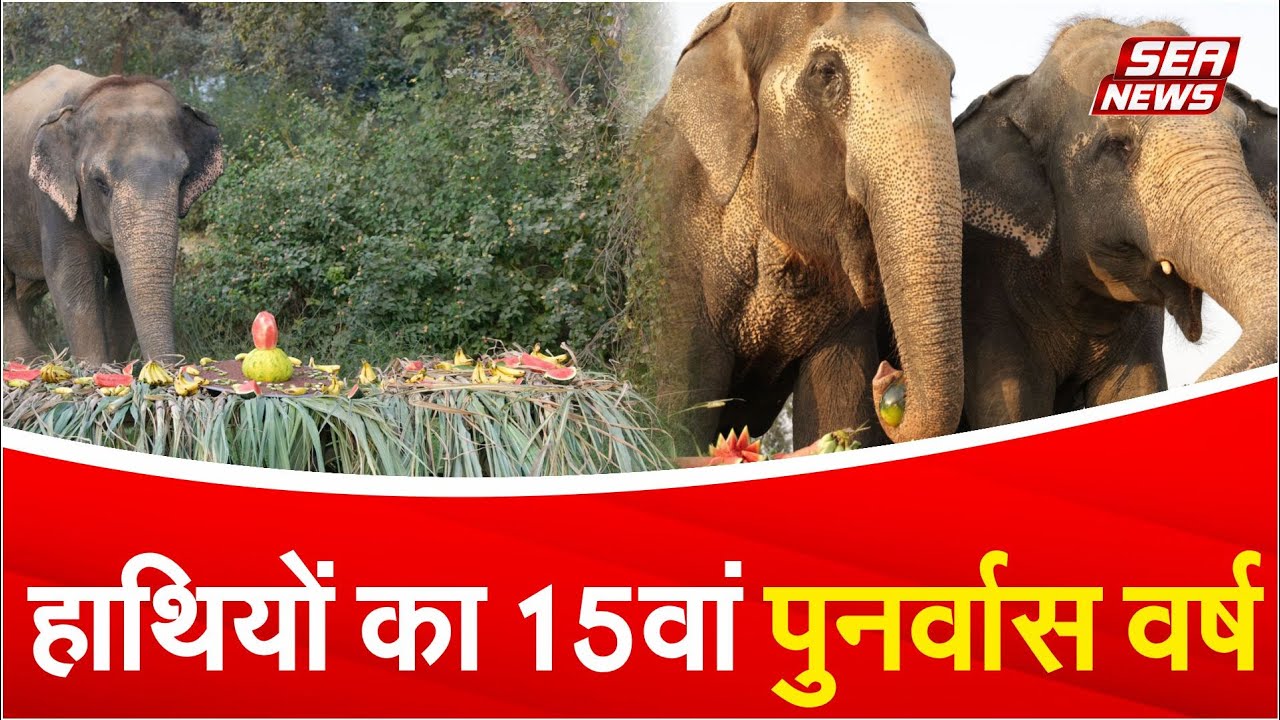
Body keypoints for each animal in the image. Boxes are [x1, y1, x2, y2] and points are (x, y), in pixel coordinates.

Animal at [2, 65, 224, 364]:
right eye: (100, 183)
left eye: (183, 179)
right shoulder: (50, 199)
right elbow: (72, 272)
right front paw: (94, 367)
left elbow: (122, 286)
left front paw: (117, 366)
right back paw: (30, 361)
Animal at [637, 3, 964, 451]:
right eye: (826, 72)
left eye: (950, 83)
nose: (888, 376)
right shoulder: (671, 248)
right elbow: (676, 412)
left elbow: (839, 408)